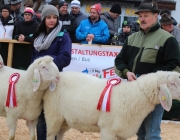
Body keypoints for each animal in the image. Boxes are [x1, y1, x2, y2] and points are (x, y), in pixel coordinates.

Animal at [42, 71, 180, 140]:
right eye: (173, 83)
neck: (135, 95)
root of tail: (57, 75)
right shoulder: (107, 130)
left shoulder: (122, 132)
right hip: (53, 116)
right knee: (50, 135)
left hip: (65, 120)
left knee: (60, 134)